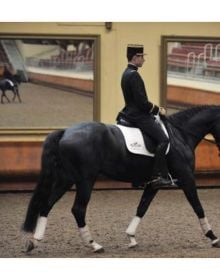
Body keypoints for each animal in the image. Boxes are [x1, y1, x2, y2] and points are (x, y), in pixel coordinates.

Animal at [21, 105, 220, 254]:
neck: (180, 135)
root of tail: (65, 132)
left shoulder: (154, 184)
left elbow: (142, 207)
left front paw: (131, 237)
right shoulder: (186, 178)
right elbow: (198, 206)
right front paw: (213, 237)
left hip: (66, 179)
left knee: (47, 204)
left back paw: (34, 241)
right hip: (85, 180)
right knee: (78, 209)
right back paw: (94, 244)